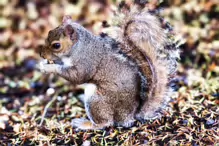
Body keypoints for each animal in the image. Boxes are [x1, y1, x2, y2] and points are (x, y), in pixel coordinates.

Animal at [38, 3, 180, 130]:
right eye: (49, 32)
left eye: (56, 45)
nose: (41, 54)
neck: (78, 46)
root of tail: (130, 115)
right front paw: (43, 64)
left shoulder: (86, 62)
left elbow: (77, 76)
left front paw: (49, 68)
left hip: (96, 100)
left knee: (105, 123)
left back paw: (85, 124)